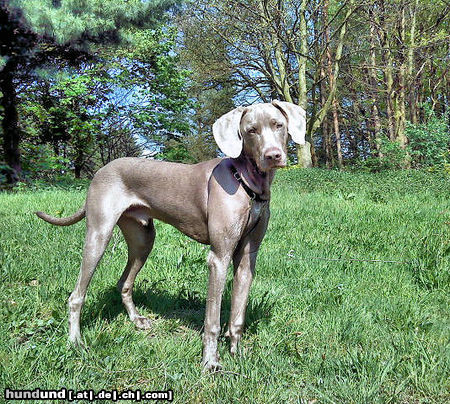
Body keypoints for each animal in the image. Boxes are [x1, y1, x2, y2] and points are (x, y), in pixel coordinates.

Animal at [36, 99, 306, 370]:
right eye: (251, 130)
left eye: (278, 125)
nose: (273, 155)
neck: (245, 182)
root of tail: (101, 171)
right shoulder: (219, 257)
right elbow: (212, 320)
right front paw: (210, 362)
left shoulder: (247, 258)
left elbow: (237, 315)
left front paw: (237, 354)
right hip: (99, 235)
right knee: (76, 296)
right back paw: (75, 341)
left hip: (143, 239)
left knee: (124, 282)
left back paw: (137, 320)